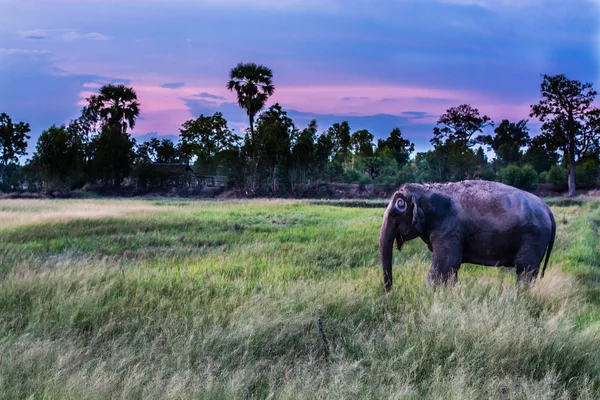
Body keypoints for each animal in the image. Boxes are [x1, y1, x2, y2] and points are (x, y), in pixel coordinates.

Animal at [380, 180, 556, 292]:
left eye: (398, 209)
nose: (390, 292)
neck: (424, 190)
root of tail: (548, 210)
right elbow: (451, 268)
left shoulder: (449, 229)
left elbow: (446, 264)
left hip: (534, 238)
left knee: (524, 270)